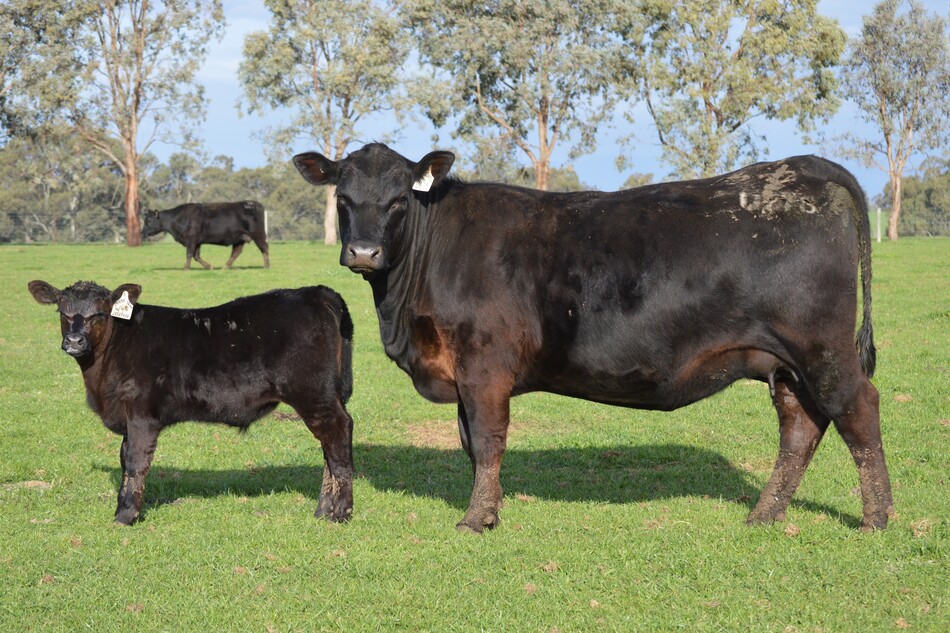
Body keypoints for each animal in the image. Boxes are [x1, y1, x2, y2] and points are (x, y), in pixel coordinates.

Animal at [28, 280, 354, 525]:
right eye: (61, 311)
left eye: (100, 313)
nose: (74, 342)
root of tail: (316, 292)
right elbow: (123, 460)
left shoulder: (142, 415)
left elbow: (135, 463)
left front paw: (126, 516)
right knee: (329, 449)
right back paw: (323, 511)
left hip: (313, 394)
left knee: (339, 436)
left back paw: (341, 513)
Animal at [141, 201, 270, 270]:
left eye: (149, 221)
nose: (142, 233)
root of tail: (253, 203)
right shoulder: (197, 242)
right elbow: (196, 256)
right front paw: (209, 267)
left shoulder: (191, 240)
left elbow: (189, 254)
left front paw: (185, 269)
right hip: (240, 238)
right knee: (236, 253)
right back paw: (224, 268)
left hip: (258, 234)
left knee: (264, 248)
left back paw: (267, 266)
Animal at [293, 142, 893, 533]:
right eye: (343, 199)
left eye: (398, 199)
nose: (364, 252)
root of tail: (799, 168)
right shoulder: (464, 374)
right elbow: (469, 443)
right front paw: (491, 508)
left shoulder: (485, 367)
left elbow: (487, 440)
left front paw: (476, 518)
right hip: (784, 362)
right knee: (801, 427)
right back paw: (765, 515)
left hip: (822, 348)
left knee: (858, 411)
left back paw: (876, 518)